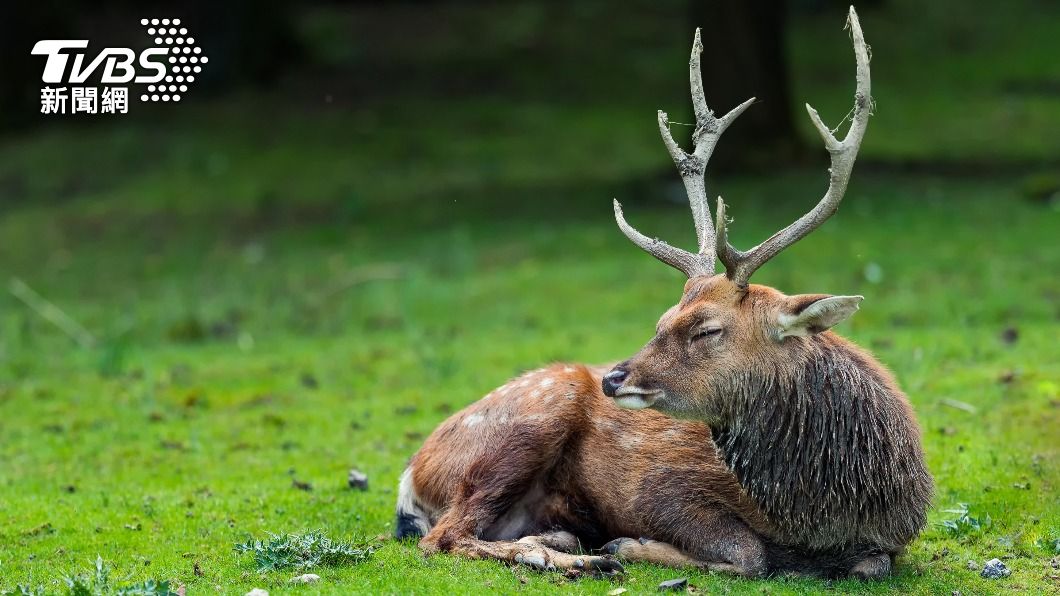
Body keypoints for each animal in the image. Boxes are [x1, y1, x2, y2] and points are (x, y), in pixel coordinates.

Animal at [394, 7, 932, 579]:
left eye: (707, 329)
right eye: (662, 319)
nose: (613, 378)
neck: (824, 516)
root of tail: (411, 473)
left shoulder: (893, 539)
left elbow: (869, 563)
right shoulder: (659, 486)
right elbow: (748, 553)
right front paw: (626, 546)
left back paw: (560, 543)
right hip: (528, 421)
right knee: (445, 537)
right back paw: (573, 558)